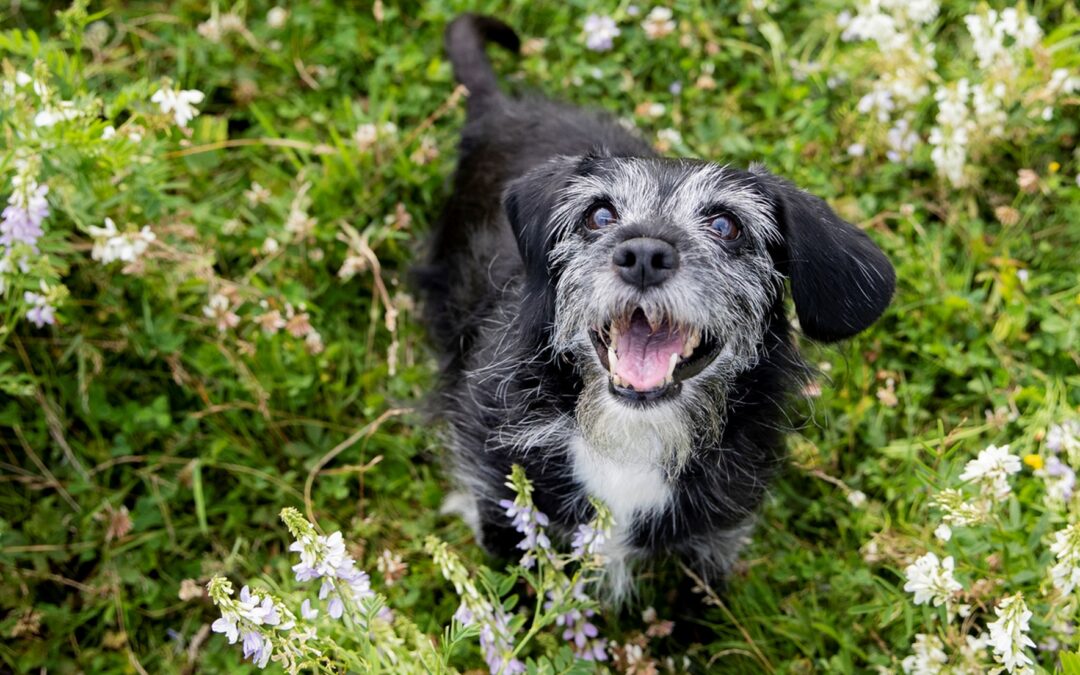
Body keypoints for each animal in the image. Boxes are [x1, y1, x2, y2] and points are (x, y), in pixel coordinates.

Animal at [416, 14, 898, 596]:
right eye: (599, 215)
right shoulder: (500, 497)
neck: (633, 438)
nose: (643, 255)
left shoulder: (713, 541)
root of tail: (500, 108)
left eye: (726, 224)